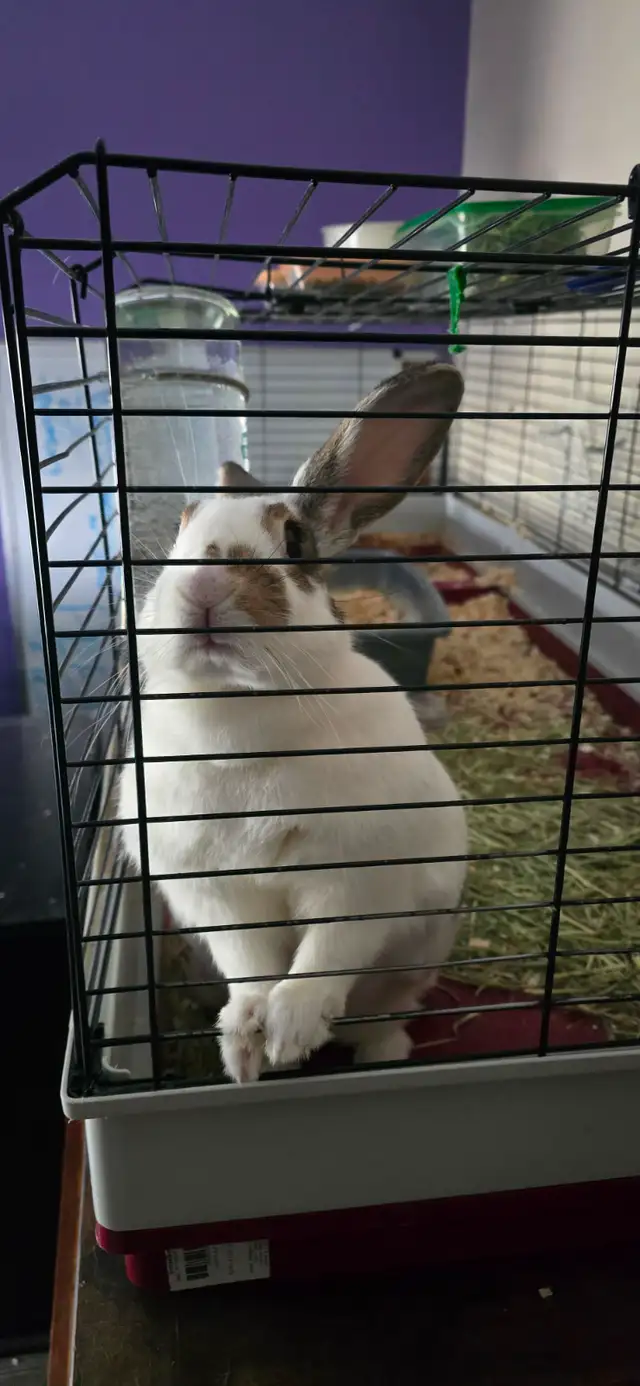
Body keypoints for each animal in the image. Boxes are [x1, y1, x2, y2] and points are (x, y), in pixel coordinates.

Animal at [118, 362, 467, 1083]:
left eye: (295, 542)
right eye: (181, 533)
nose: (202, 591)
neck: (239, 721)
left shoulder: (358, 876)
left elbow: (325, 956)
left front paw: (290, 1031)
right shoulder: (220, 896)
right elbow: (251, 966)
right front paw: (248, 1041)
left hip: (414, 965)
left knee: (384, 1015)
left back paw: (381, 1054)